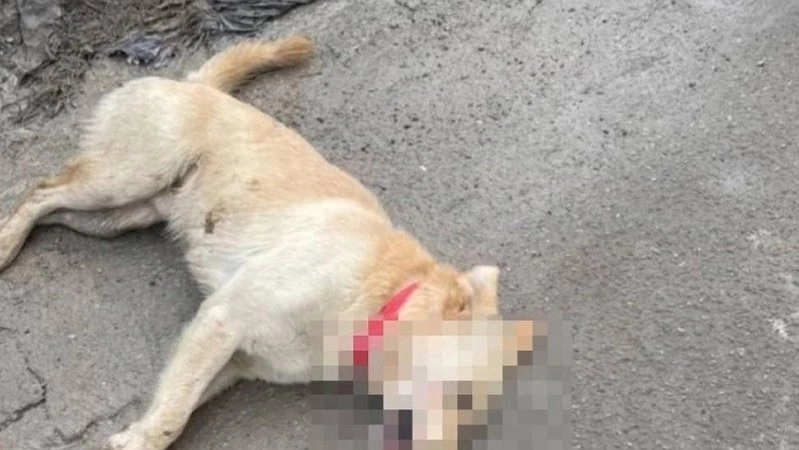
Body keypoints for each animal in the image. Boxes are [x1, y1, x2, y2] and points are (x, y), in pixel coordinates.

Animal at [0, 36, 532, 449]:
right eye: (462, 395)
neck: (381, 300)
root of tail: (197, 83)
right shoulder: (223, 317)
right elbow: (172, 414)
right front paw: (140, 439)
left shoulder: (234, 361)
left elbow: (177, 407)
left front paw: (138, 432)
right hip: (124, 177)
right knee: (41, 190)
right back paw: (5, 244)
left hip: (118, 216)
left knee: (52, 207)